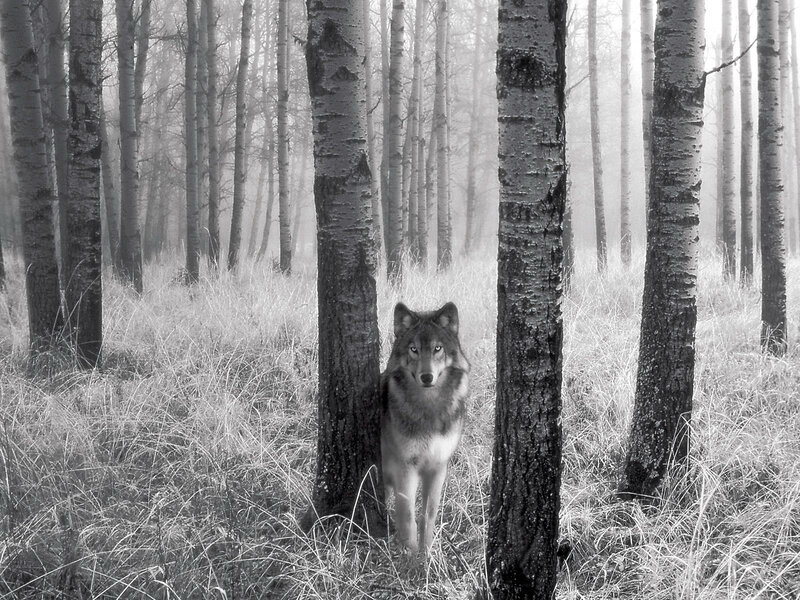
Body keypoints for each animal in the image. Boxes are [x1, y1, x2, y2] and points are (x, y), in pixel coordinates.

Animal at [381, 301, 470, 553]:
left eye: (437, 348)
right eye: (414, 350)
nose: (427, 377)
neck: (429, 408)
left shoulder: (438, 466)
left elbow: (428, 515)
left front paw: (427, 554)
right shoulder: (406, 468)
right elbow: (408, 517)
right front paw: (410, 557)